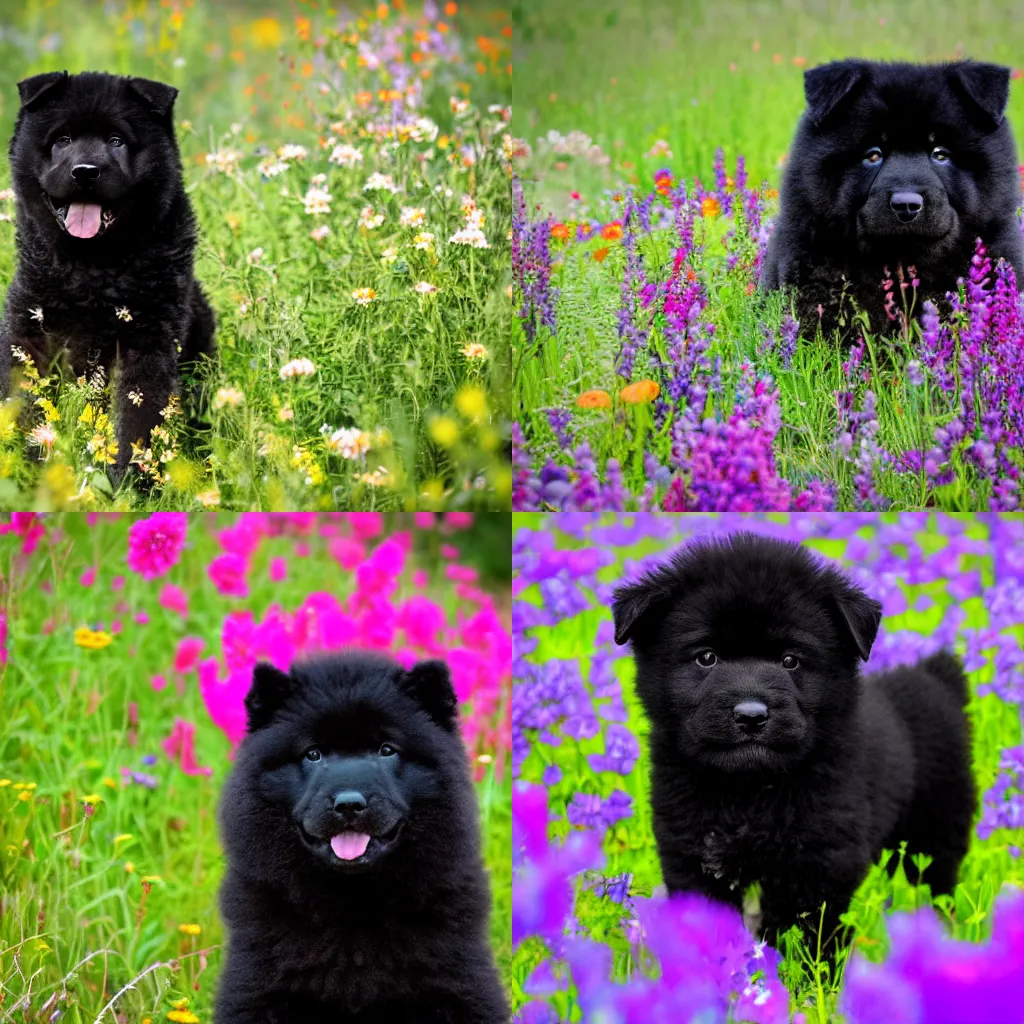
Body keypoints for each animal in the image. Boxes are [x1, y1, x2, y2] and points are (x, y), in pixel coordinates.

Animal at [0, 72, 211, 479]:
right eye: (62, 140)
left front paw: (130, 480)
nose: (85, 171)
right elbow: (25, 399)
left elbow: (139, 418)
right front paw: (31, 464)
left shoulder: (149, 339)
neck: (91, 268)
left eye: (116, 140)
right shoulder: (29, 327)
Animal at [216, 651, 507, 1019]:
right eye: (313, 753)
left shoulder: (459, 985)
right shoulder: (259, 990)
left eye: (386, 750)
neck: (353, 907)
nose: (349, 804)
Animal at [610, 536, 970, 950]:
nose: (751, 716)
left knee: (937, 891)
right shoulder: (689, 854)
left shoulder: (820, 863)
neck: (748, 794)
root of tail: (938, 678)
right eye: (707, 657)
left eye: (790, 660)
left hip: (935, 834)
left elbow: (805, 935)